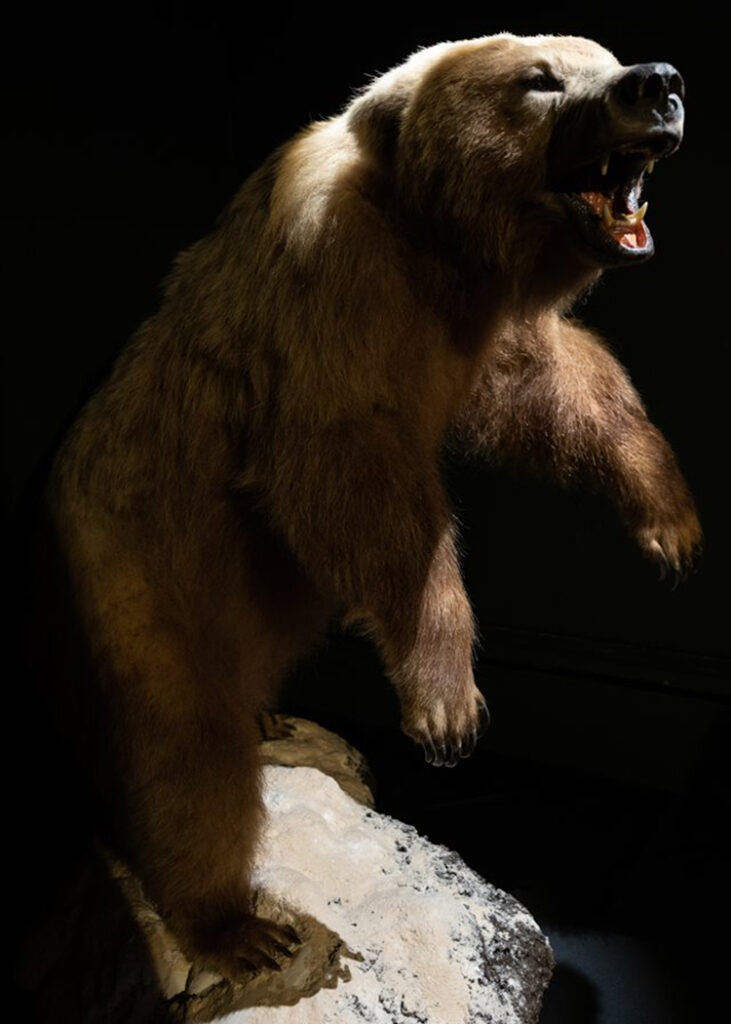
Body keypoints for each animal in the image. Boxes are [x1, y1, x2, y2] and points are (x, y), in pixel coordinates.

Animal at [39, 33, 700, 980]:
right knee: (181, 750)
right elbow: (348, 474)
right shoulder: (332, 282)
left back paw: (267, 713)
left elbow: (546, 384)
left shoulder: (470, 312)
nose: (658, 84)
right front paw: (448, 708)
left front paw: (668, 524)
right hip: (134, 565)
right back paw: (240, 926)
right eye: (540, 78)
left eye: (599, 54)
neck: (430, 233)